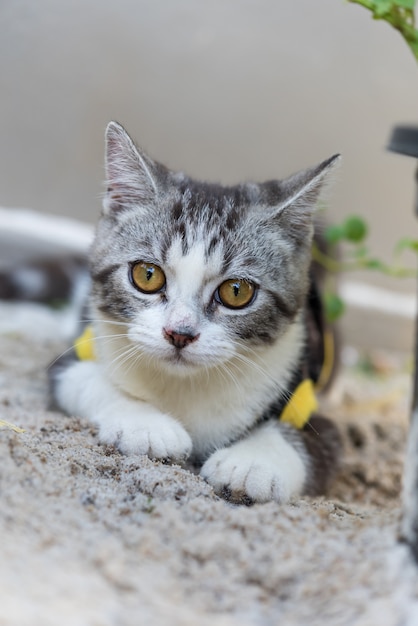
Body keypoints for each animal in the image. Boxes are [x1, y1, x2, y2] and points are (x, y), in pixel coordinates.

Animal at [49, 120, 342, 502]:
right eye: (147, 275)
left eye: (237, 291)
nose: (180, 333)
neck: (185, 386)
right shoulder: (69, 360)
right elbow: (81, 377)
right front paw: (146, 424)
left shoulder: (309, 396)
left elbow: (310, 438)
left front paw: (253, 462)